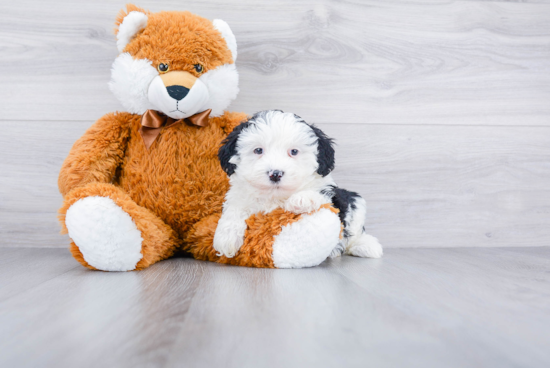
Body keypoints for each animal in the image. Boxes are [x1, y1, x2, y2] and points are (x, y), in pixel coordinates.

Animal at [216, 110, 384, 260]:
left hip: (356, 202)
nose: (275, 173)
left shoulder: (329, 194)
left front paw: (302, 199)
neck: (275, 196)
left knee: (354, 232)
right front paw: (226, 238)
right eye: (258, 150)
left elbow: (318, 192)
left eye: (294, 152)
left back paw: (364, 246)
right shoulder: (239, 195)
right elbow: (235, 209)